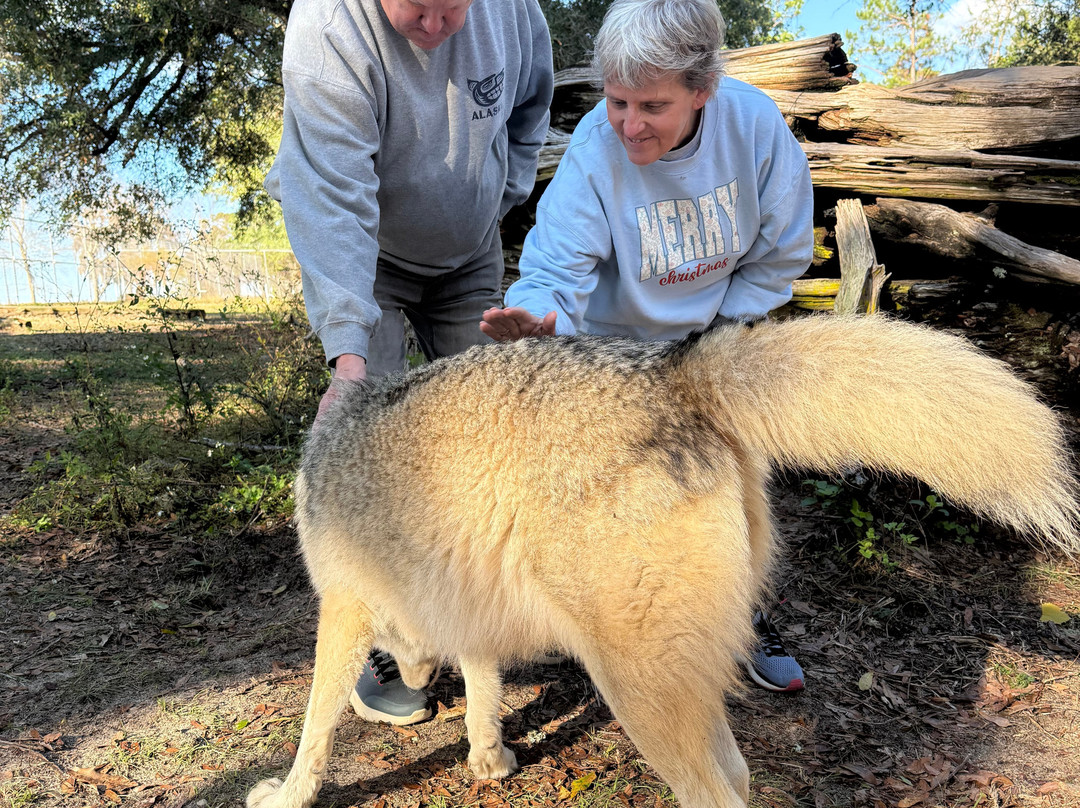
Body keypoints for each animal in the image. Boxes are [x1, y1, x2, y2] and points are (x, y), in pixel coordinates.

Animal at [247, 314, 1080, 808]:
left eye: (383, 659)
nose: (407, 685)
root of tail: (674, 372)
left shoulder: (343, 610)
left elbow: (315, 727)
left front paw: (287, 794)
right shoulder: (471, 611)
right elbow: (484, 691)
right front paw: (489, 759)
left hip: (640, 696)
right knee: (741, 778)